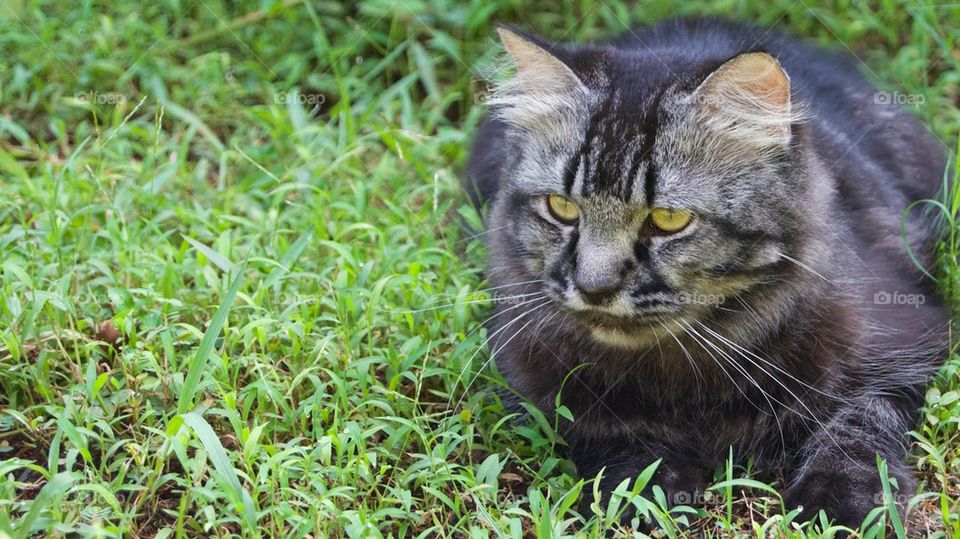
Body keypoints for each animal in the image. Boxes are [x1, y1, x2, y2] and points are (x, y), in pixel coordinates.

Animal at [466, 16, 952, 532]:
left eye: (668, 219)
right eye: (561, 208)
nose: (594, 287)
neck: (683, 373)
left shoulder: (906, 343)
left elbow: (858, 428)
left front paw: (838, 503)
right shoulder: (533, 374)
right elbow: (613, 431)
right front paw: (644, 493)